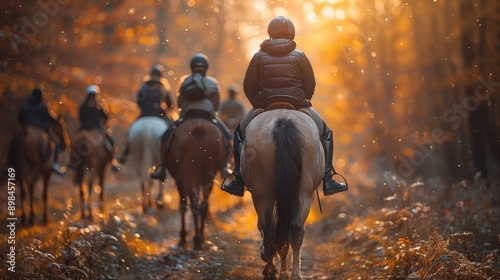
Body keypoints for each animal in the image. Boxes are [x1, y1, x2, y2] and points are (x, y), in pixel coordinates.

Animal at [165, 115, 228, 250]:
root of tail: (199, 128)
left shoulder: (179, 180)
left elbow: (183, 205)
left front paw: (183, 237)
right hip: (207, 175)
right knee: (203, 203)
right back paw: (201, 238)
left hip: (187, 176)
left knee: (191, 202)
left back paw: (195, 239)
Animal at [241, 109, 324, 280]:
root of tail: (283, 122)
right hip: (302, 193)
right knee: (293, 229)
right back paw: (292, 275)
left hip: (263, 195)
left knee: (271, 229)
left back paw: (272, 270)